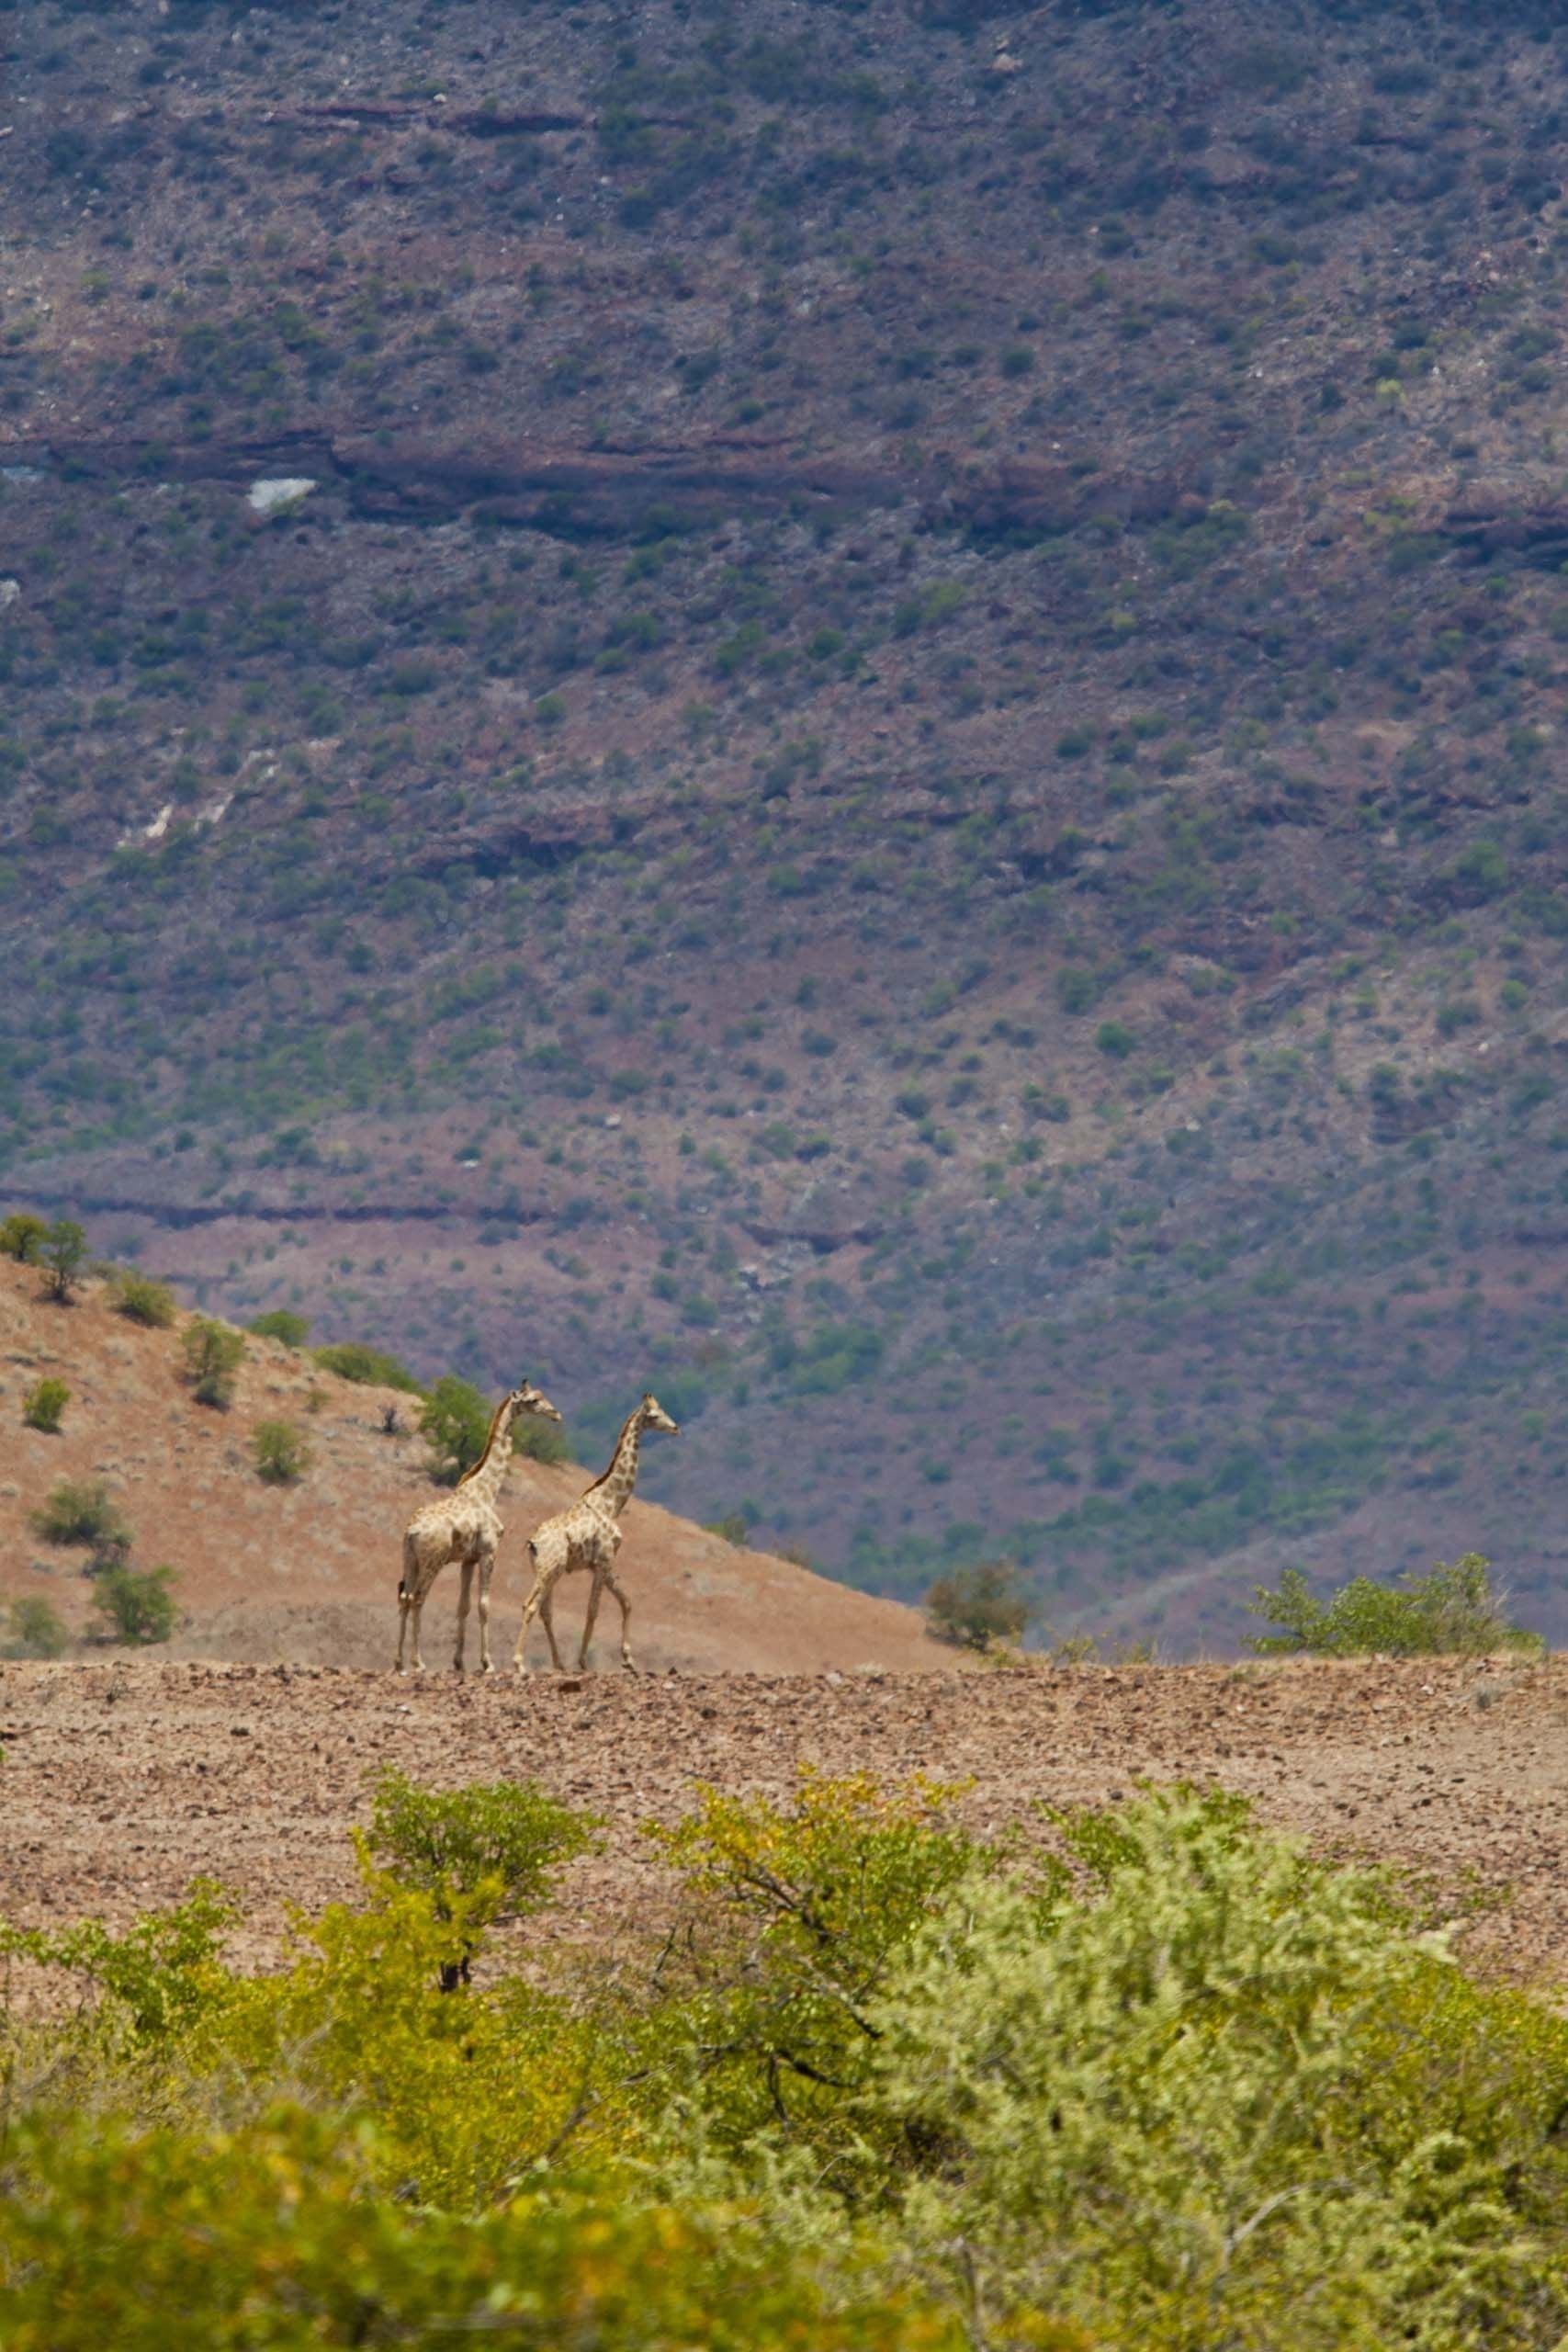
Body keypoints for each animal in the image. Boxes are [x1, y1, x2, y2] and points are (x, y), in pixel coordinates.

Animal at [396, 1380, 562, 1676]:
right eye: (533, 1400)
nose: (555, 1414)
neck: (487, 1491)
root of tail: (411, 1532)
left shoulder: (468, 1559)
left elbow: (463, 1606)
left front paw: (459, 1662)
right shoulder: (488, 1552)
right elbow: (484, 1605)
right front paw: (488, 1663)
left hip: (410, 1559)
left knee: (404, 1597)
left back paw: (399, 1662)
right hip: (432, 1561)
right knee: (418, 1598)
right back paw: (419, 1662)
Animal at [512, 1393, 679, 1676]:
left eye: (664, 1409)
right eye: (655, 1415)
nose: (675, 1427)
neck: (611, 1502)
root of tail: (533, 1543)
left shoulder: (597, 1565)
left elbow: (626, 1602)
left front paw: (627, 1659)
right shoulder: (604, 1561)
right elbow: (594, 1610)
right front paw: (586, 1661)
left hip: (547, 1571)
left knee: (545, 1611)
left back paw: (558, 1664)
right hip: (550, 1570)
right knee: (530, 1605)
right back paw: (519, 1663)